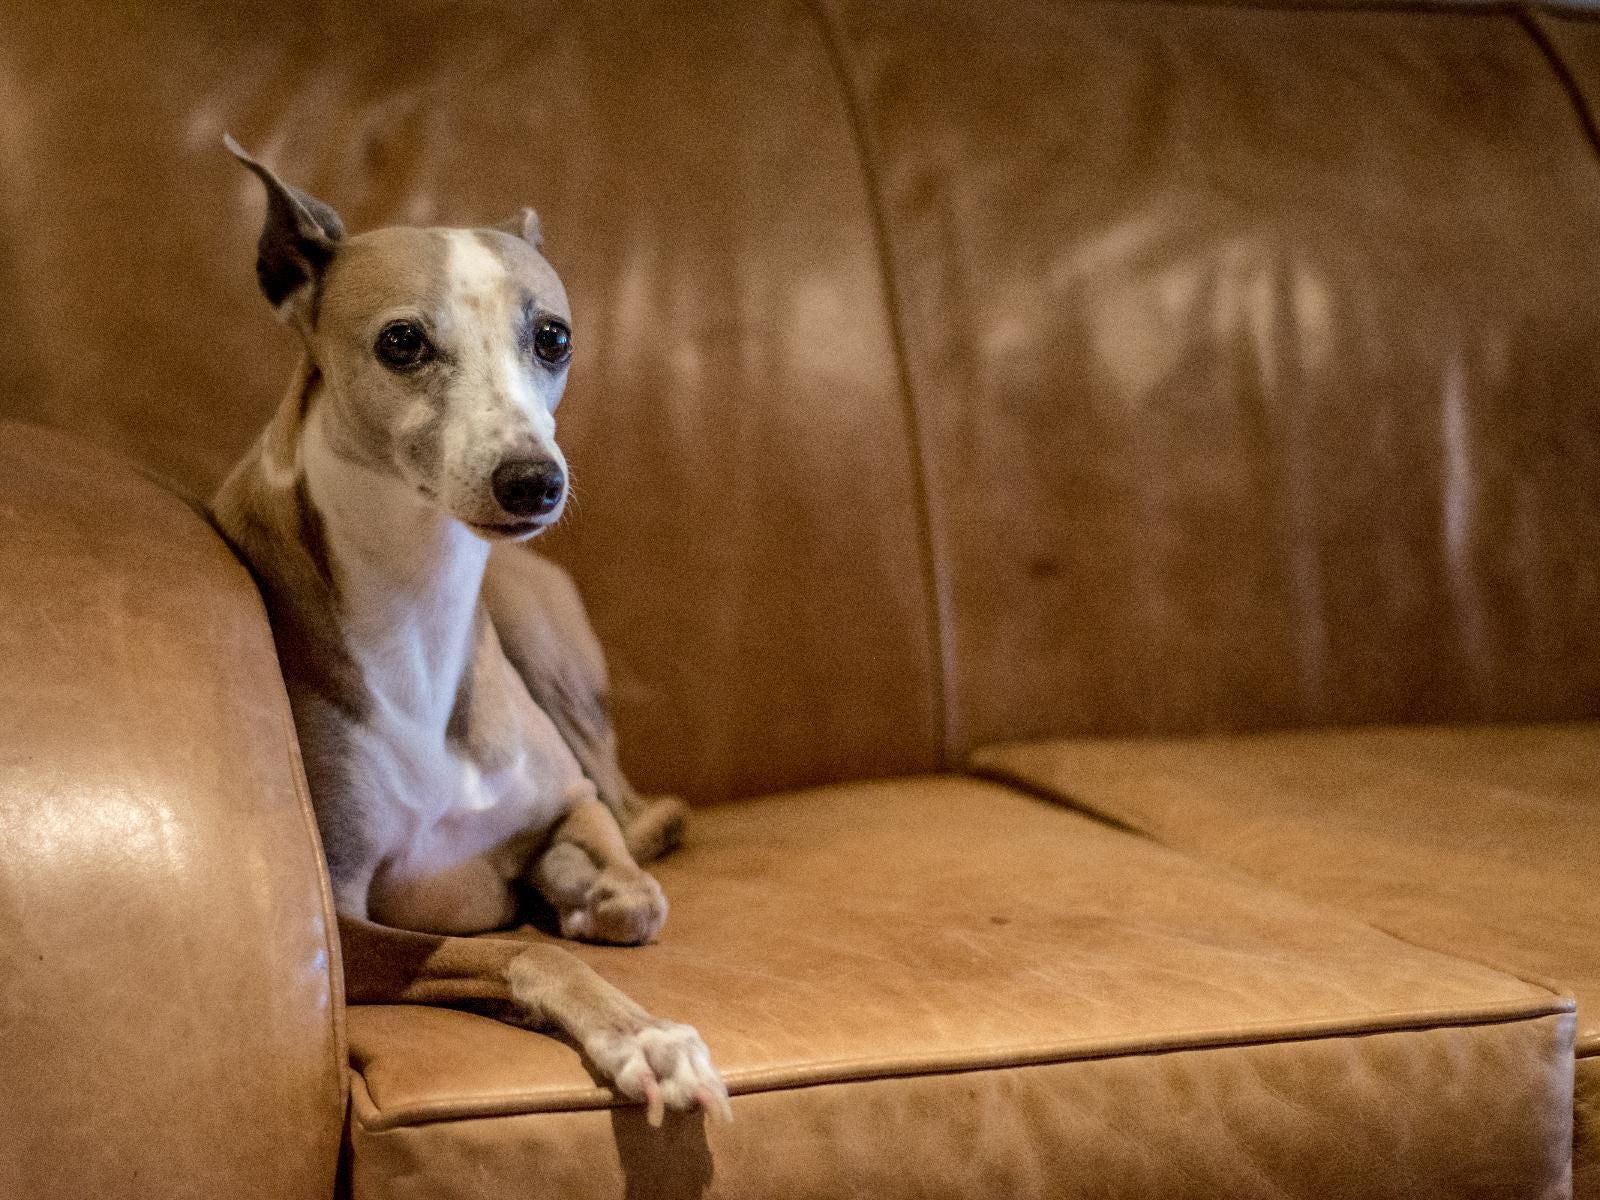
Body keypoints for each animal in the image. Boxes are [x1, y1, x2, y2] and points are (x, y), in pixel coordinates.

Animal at [211, 140, 732, 1126]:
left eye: (552, 336)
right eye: (401, 341)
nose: (534, 482)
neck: (420, 605)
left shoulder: (565, 795)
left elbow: (632, 898)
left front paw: (578, 893)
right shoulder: (346, 928)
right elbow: (526, 948)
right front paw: (643, 1036)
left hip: (546, 646)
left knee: (633, 808)